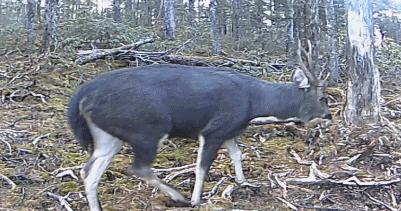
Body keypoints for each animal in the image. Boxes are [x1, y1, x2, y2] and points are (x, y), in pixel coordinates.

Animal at [67, 43, 332, 210]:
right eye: (322, 97)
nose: (329, 116)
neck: (254, 101)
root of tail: (81, 96)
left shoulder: (230, 130)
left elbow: (237, 153)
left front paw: (244, 182)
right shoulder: (213, 129)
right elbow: (201, 167)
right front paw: (196, 199)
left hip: (108, 134)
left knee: (88, 172)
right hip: (147, 128)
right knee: (138, 167)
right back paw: (179, 197)